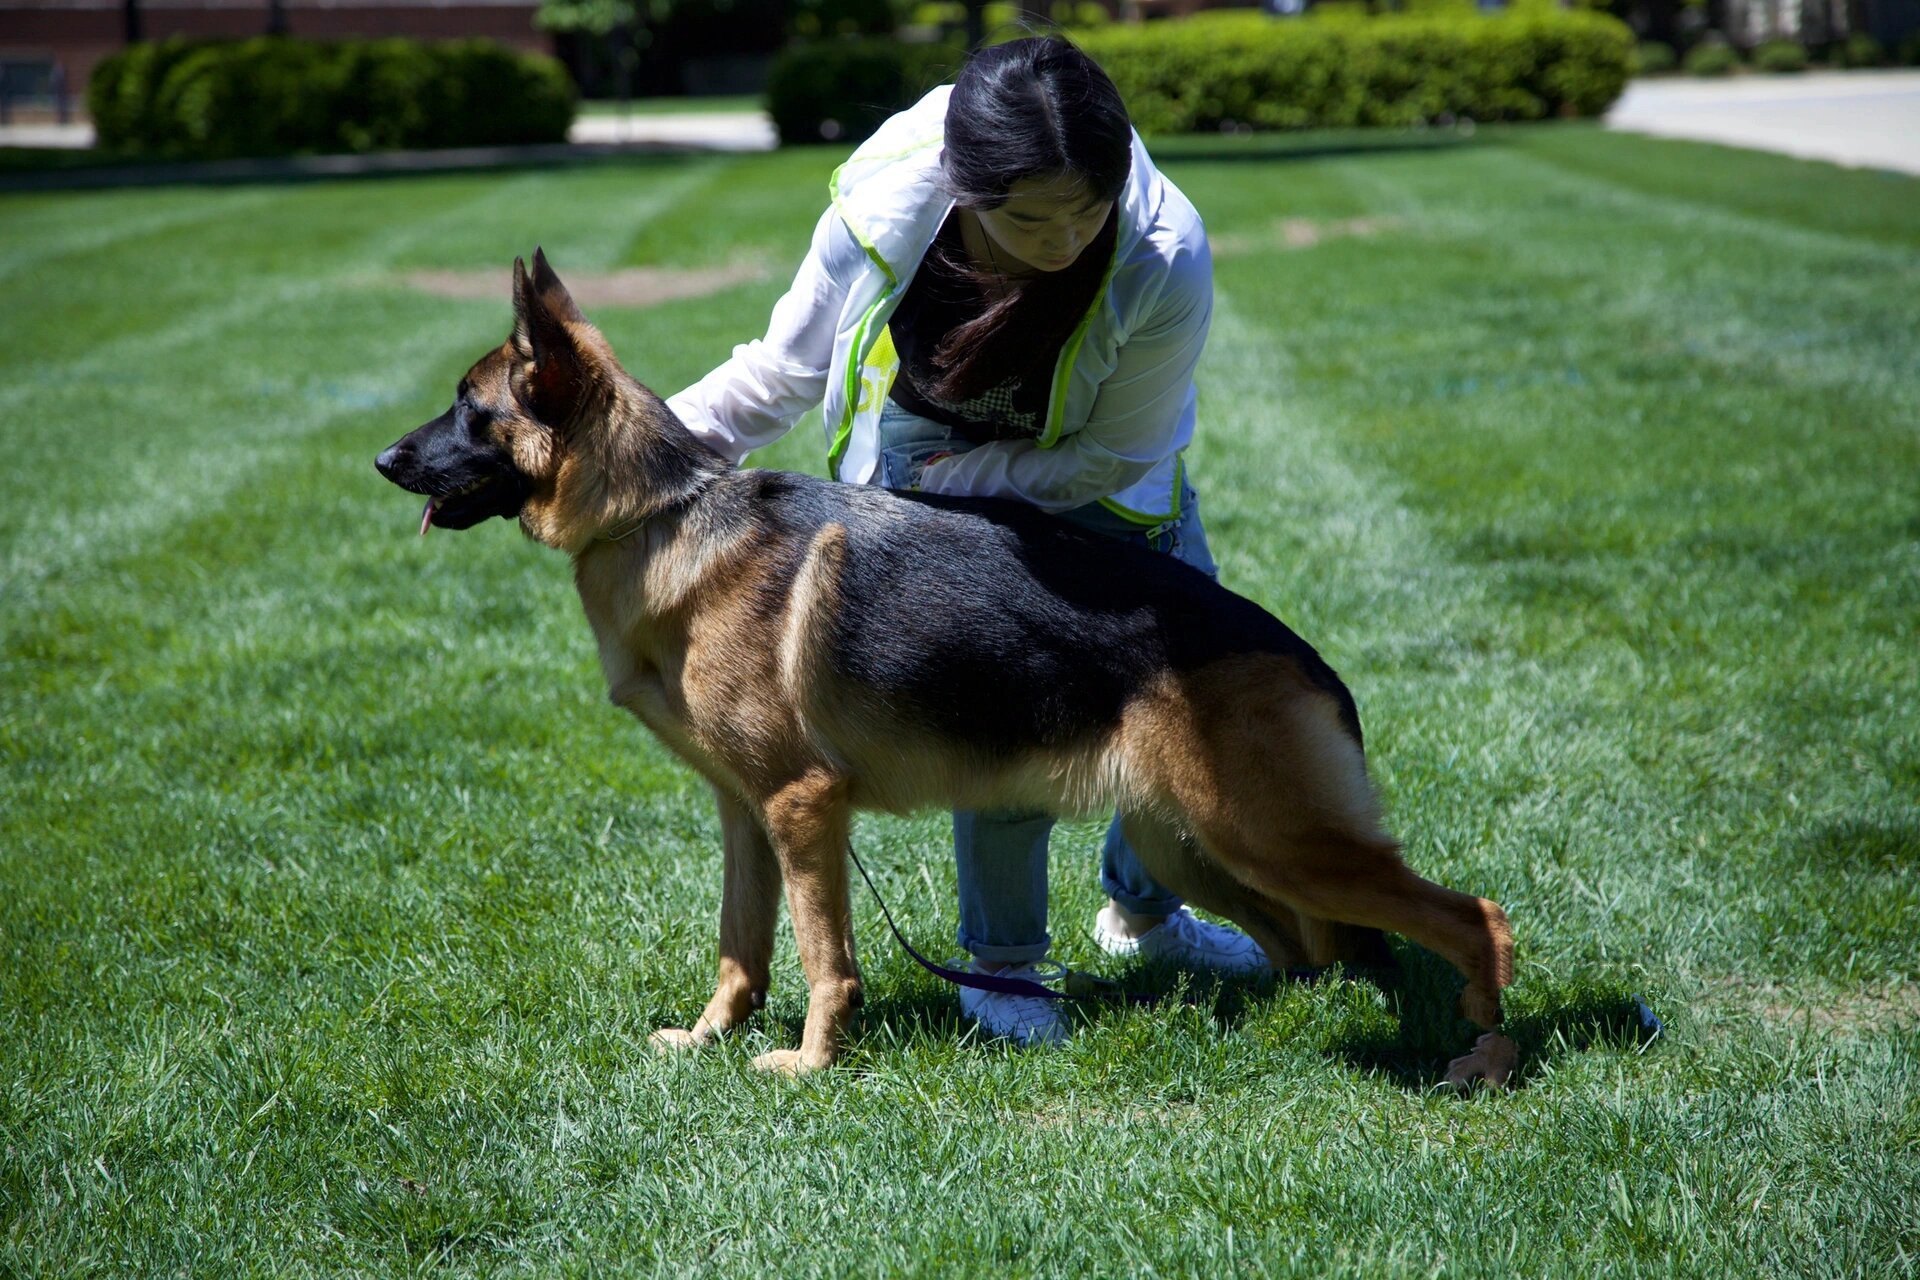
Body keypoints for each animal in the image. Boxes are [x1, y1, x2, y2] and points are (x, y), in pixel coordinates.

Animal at [370, 253, 1512, 1090]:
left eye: (468, 408)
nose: (382, 460)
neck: (657, 514)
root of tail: (1310, 659)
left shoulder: (802, 809)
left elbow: (824, 957)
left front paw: (811, 1065)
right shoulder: (743, 813)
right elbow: (741, 945)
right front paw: (708, 1040)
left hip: (1265, 834)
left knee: (1471, 916)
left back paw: (1487, 1050)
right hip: (1187, 839)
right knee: (1309, 946)